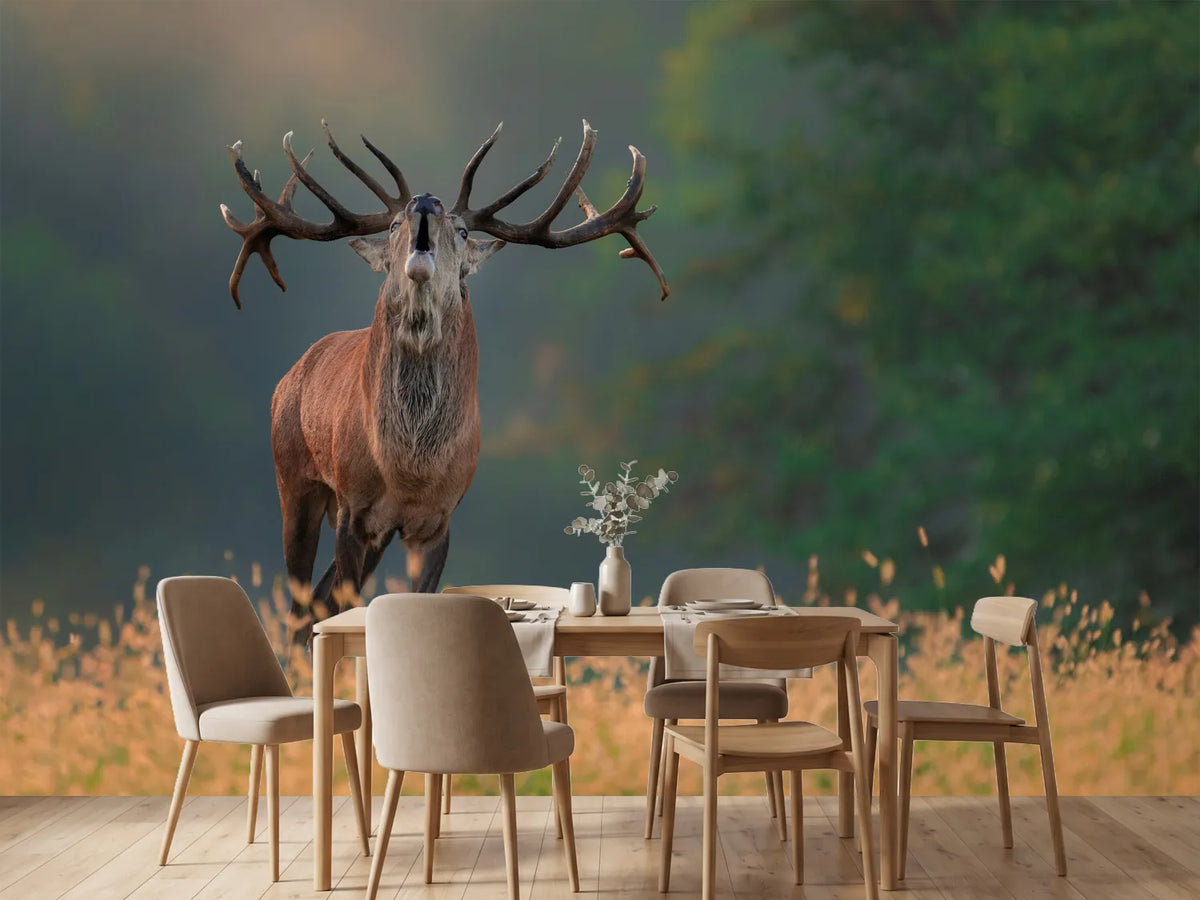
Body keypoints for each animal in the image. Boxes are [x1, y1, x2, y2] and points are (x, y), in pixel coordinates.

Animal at [220, 119, 667, 640]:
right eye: (393, 224)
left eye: (463, 230)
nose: (425, 201)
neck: (411, 469)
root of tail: (290, 376)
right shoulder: (353, 507)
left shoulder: (440, 517)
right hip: (293, 480)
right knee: (299, 608)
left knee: (315, 602)